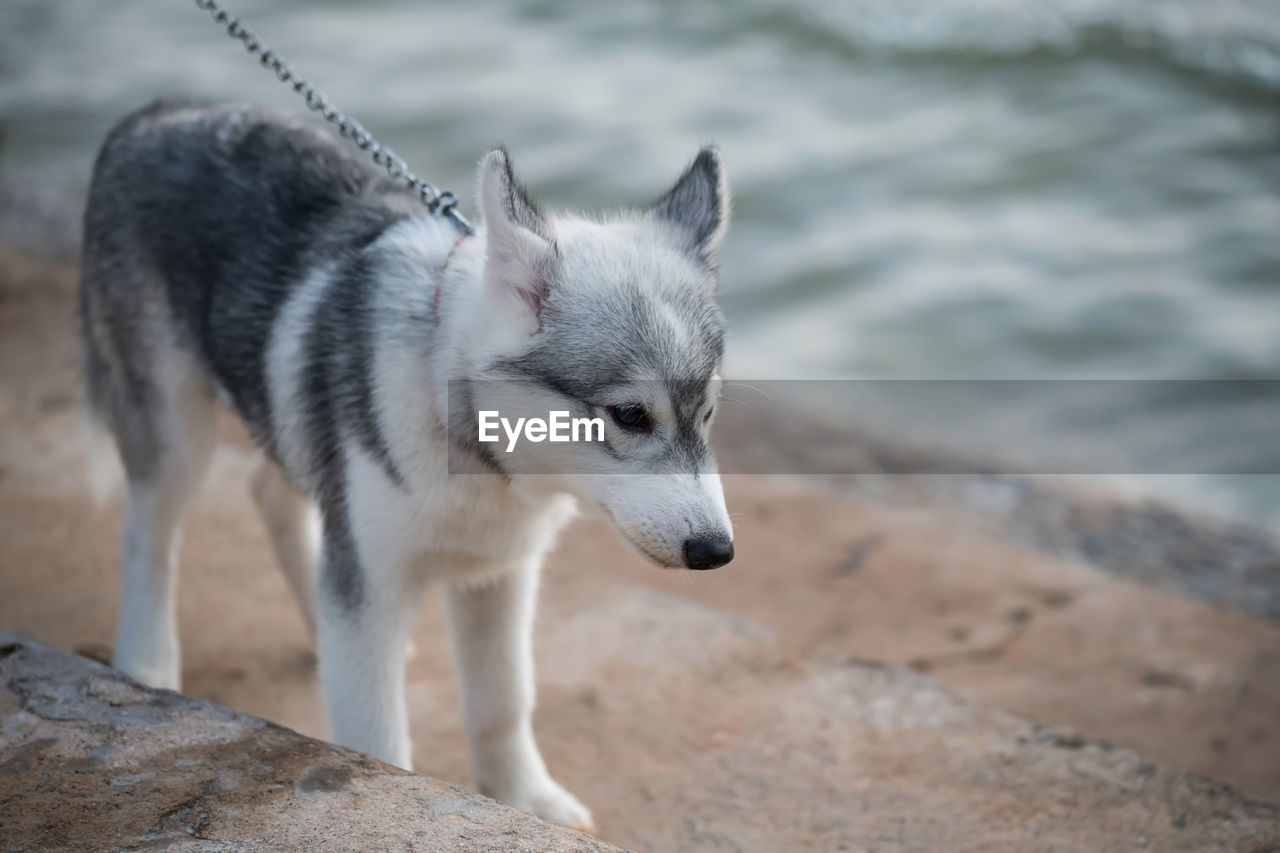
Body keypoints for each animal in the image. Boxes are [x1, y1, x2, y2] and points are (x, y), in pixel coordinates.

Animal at [80, 101, 737, 829]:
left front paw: (525, 797)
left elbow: (504, 700)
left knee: (273, 494)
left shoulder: (499, 574)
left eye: (708, 414)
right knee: (150, 531)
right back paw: (146, 662)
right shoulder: (373, 575)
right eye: (629, 414)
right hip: (176, 431)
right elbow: (377, 741)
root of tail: (157, 112)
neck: (467, 441)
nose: (716, 550)